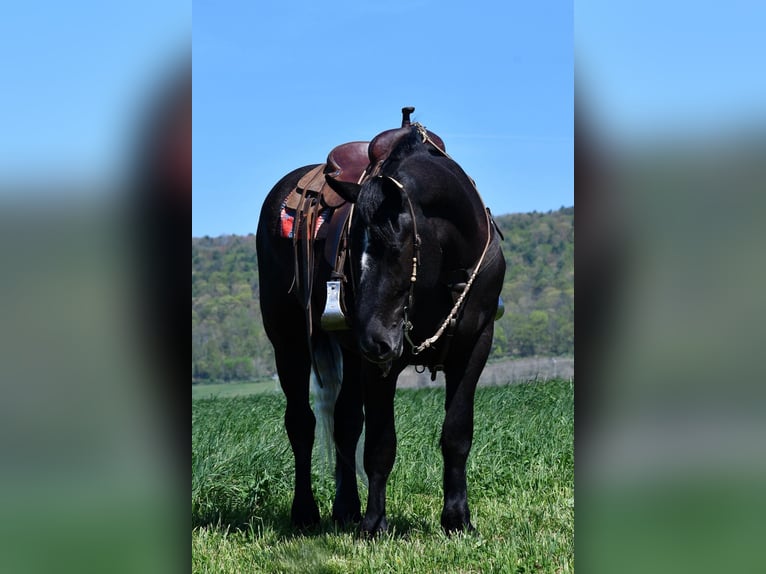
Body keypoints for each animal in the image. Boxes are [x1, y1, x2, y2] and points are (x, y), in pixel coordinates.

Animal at [258, 109, 508, 540]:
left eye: (399, 248)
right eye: (349, 247)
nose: (374, 340)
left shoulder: (475, 346)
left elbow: (457, 434)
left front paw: (457, 519)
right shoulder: (380, 364)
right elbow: (379, 444)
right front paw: (375, 524)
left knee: (344, 423)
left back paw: (345, 509)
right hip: (289, 344)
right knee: (302, 424)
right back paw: (305, 512)